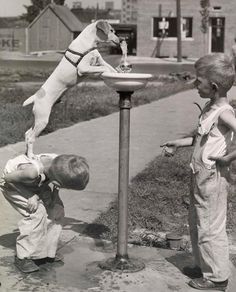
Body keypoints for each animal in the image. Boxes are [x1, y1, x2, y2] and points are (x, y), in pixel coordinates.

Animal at [23, 19, 120, 157]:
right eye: (111, 30)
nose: (120, 40)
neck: (88, 44)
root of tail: (36, 96)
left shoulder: (100, 61)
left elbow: (110, 67)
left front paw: (119, 73)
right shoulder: (83, 68)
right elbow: (104, 68)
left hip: (37, 119)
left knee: (27, 134)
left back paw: (27, 154)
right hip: (42, 119)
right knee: (31, 137)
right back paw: (31, 156)